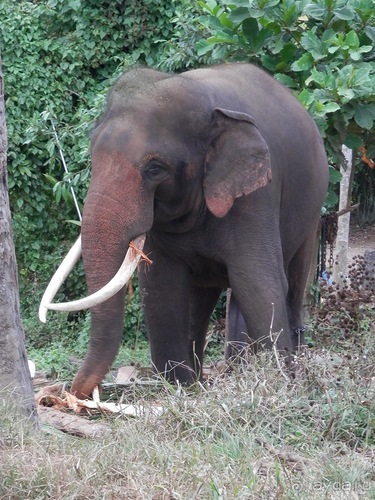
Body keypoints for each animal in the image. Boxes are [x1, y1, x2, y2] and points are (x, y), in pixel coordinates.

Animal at [39, 63, 330, 398]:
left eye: (154, 169)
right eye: (92, 154)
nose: (71, 394)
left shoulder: (256, 196)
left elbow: (259, 282)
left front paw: (278, 384)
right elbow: (162, 288)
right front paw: (182, 389)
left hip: (312, 207)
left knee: (290, 282)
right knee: (202, 296)